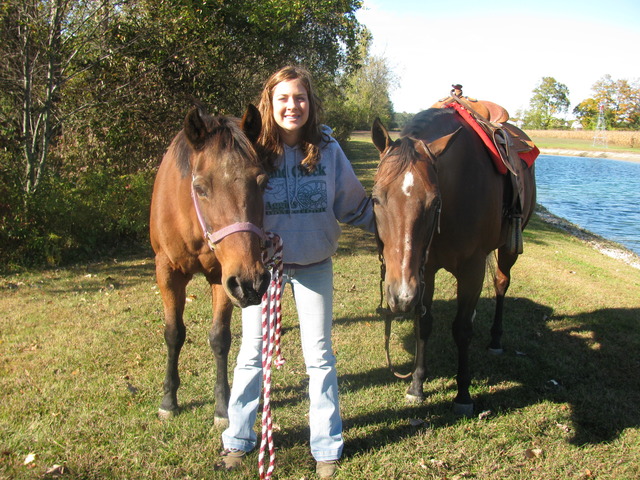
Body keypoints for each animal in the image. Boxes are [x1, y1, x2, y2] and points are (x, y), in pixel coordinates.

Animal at [149, 105, 270, 425]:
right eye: (200, 187)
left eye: (262, 181)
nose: (251, 283)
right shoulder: (167, 271)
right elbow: (173, 333)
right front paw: (168, 401)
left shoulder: (223, 276)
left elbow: (219, 338)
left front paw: (222, 407)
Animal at [371, 107, 536, 415]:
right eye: (375, 199)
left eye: (435, 202)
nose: (400, 297)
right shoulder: (424, 270)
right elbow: (424, 322)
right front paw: (416, 386)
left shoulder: (471, 270)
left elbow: (461, 330)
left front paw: (463, 394)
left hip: (509, 248)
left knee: (501, 283)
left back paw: (496, 339)